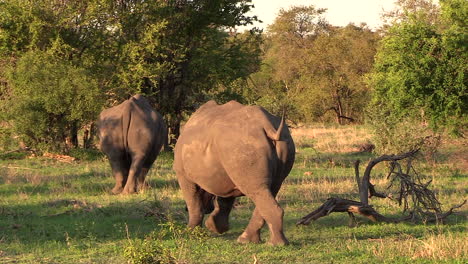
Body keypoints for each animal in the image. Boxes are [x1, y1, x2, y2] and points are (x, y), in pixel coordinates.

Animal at [174, 99, 294, 245]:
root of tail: (268, 126)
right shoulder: (224, 173)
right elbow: (225, 201)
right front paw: (215, 227)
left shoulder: (183, 174)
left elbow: (194, 203)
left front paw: (190, 233)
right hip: (279, 142)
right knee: (269, 188)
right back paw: (247, 240)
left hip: (243, 144)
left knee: (258, 190)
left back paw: (274, 244)